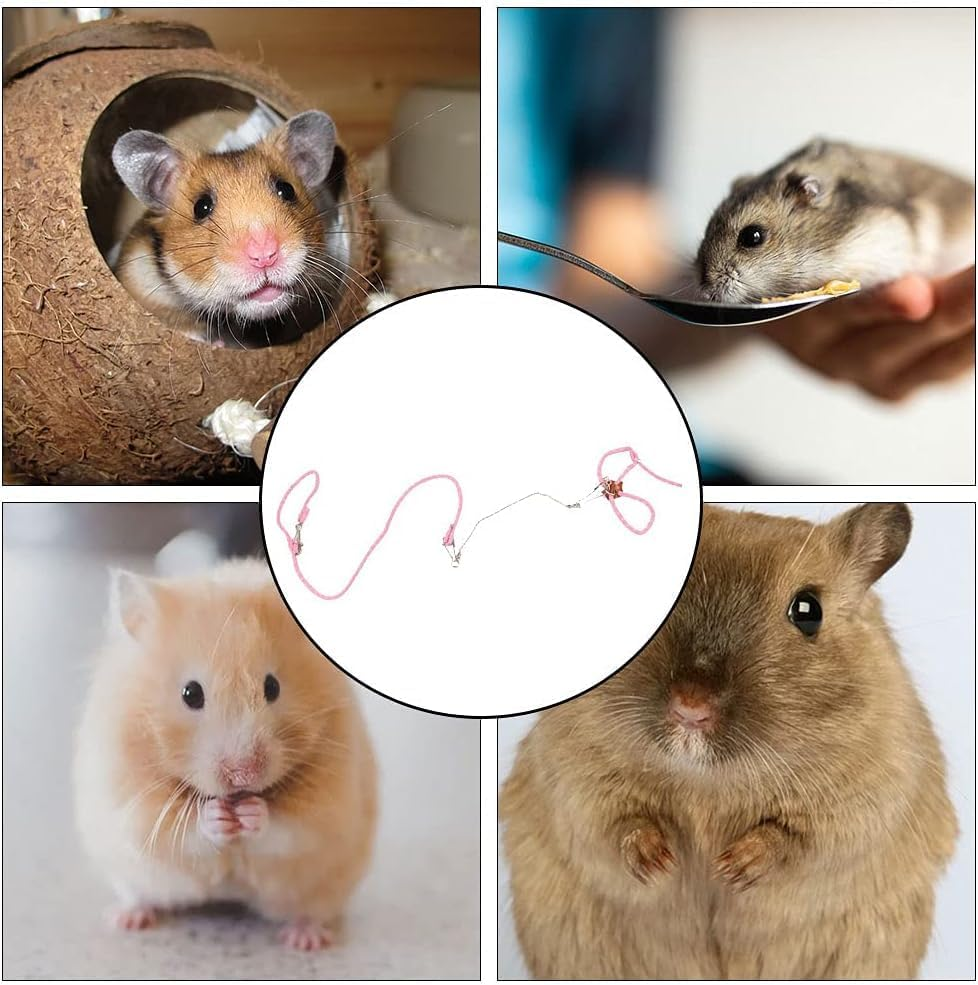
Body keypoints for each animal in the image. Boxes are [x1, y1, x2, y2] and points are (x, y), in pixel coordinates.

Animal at [73, 558, 377, 949]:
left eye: (272, 687)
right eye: (191, 693)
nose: (243, 774)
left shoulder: (330, 801)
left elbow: (289, 827)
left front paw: (251, 812)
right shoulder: (132, 801)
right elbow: (180, 830)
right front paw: (218, 816)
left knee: (312, 910)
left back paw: (304, 939)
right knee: (138, 894)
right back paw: (126, 919)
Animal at [501, 504, 957, 979]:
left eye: (808, 611)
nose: (690, 707)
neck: (707, 779)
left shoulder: (865, 801)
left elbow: (795, 839)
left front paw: (729, 869)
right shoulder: (573, 773)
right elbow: (618, 823)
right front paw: (662, 861)